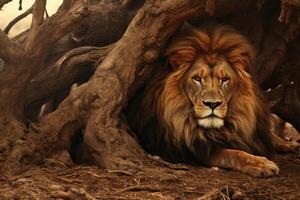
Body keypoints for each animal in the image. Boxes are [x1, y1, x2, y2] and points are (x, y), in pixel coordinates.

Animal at [126, 23, 300, 177]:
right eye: (197, 79)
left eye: (224, 79)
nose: (212, 104)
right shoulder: (194, 149)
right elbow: (234, 154)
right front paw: (261, 163)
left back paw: (288, 144)